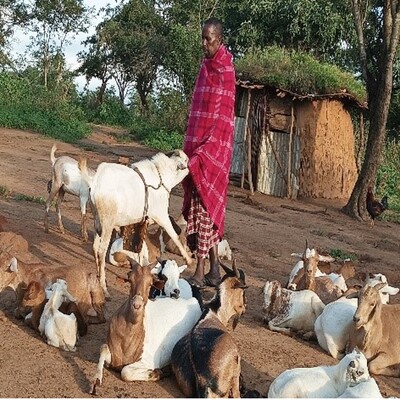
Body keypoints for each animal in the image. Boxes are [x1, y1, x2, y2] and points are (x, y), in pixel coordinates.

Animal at [79, 151, 191, 300]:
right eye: (185, 160)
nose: (190, 167)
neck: (162, 175)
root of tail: (95, 182)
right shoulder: (162, 216)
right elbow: (175, 236)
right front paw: (188, 260)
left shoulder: (144, 221)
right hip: (107, 223)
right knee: (102, 250)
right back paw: (104, 287)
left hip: (98, 223)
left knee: (95, 247)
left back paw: (99, 276)